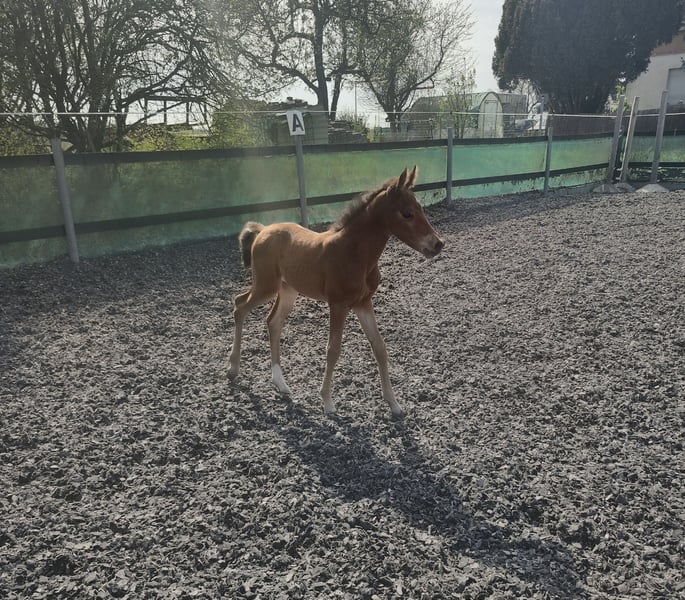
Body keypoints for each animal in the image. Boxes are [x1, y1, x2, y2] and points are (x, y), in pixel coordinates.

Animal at [228, 166, 444, 417]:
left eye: (420, 208)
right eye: (407, 214)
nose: (437, 244)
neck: (354, 253)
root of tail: (263, 230)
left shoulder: (363, 303)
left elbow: (380, 348)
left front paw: (394, 404)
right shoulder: (338, 304)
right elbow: (333, 350)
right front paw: (328, 402)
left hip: (288, 290)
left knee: (273, 321)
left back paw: (280, 383)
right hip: (266, 285)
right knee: (240, 305)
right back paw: (233, 369)